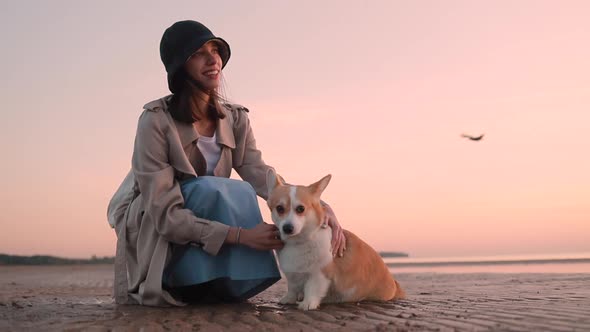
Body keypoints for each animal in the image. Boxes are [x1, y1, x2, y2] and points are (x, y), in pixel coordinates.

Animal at [266, 169, 404, 312]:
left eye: (300, 209)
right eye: (279, 208)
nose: (287, 228)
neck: (299, 241)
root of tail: (395, 285)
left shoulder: (319, 274)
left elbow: (312, 289)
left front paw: (308, 304)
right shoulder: (292, 274)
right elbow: (292, 287)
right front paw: (288, 299)